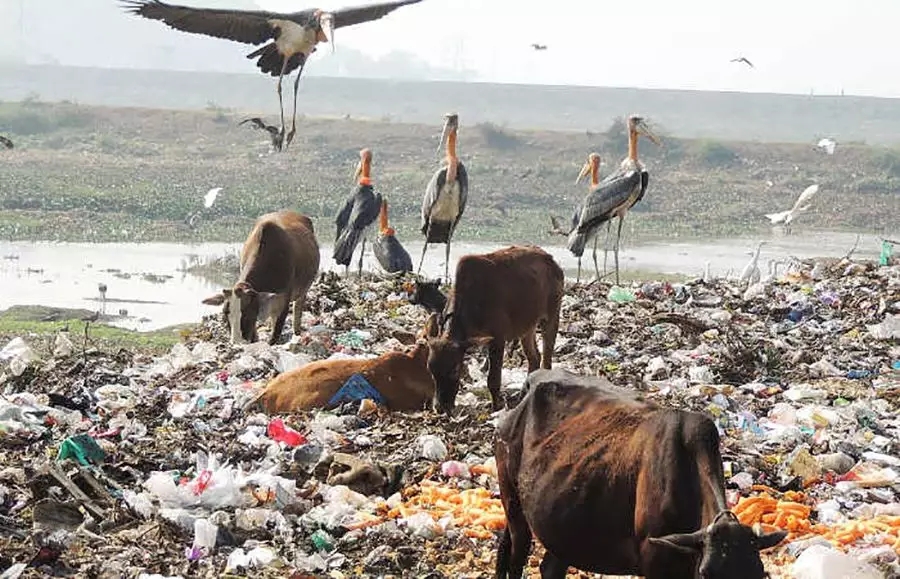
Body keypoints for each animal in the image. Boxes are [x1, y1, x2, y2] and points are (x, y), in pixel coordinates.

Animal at [203, 211, 320, 344]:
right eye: (225, 314)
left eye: (248, 314)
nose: (237, 341)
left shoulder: (284, 302)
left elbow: (274, 336)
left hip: (303, 291)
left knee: (297, 309)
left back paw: (297, 332)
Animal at [424, 247, 564, 414]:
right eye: (431, 370)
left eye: (454, 369)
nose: (440, 407)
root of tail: (551, 261)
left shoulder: (498, 338)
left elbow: (493, 379)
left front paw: (496, 406)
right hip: (527, 327)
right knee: (534, 358)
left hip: (551, 316)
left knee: (546, 360)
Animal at [496, 368, 784, 579]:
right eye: (705, 574)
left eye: (760, 574)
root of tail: (530, 383)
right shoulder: (654, 564)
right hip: (513, 503)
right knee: (515, 557)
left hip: (560, 522)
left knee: (550, 567)